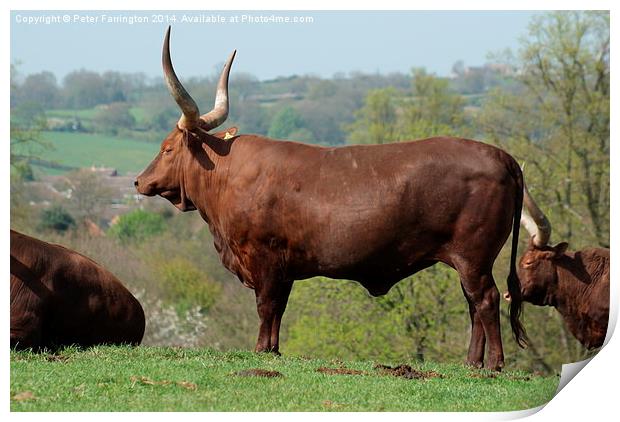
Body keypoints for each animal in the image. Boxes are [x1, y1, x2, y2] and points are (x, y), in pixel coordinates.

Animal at [134, 26, 528, 370]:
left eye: (167, 148)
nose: (139, 181)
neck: (228, 174)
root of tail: (501, 156)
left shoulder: (264, 258)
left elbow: (266, 306)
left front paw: (260, 350)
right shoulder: (284, 267)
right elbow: (278, 309)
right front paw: (274, 351)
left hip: (473, 256)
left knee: (486, 300)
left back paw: (494, 364)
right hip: (467, 261)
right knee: (473, 304)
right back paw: (472, 363)